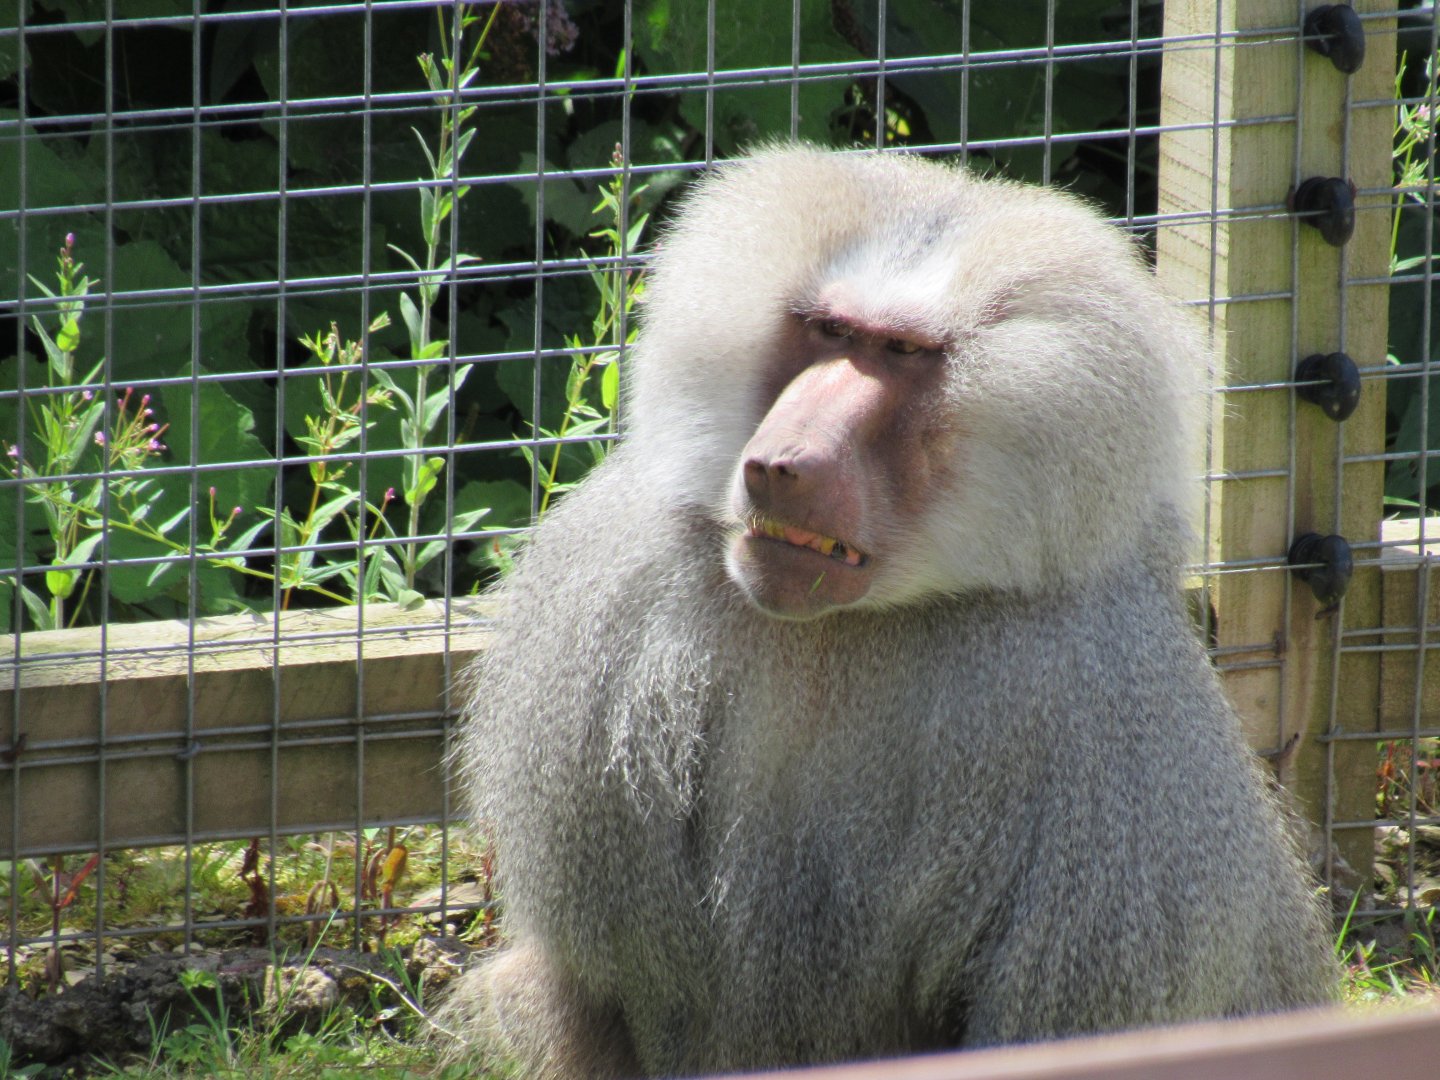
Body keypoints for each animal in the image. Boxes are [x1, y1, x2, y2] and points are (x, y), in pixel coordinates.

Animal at [444, 145, 1340, 1078]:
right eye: (831, 332)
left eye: (905, 351)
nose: (782, 465)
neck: (841, 632)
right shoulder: (620, 594)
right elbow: (616, 975)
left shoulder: (1102, 702)